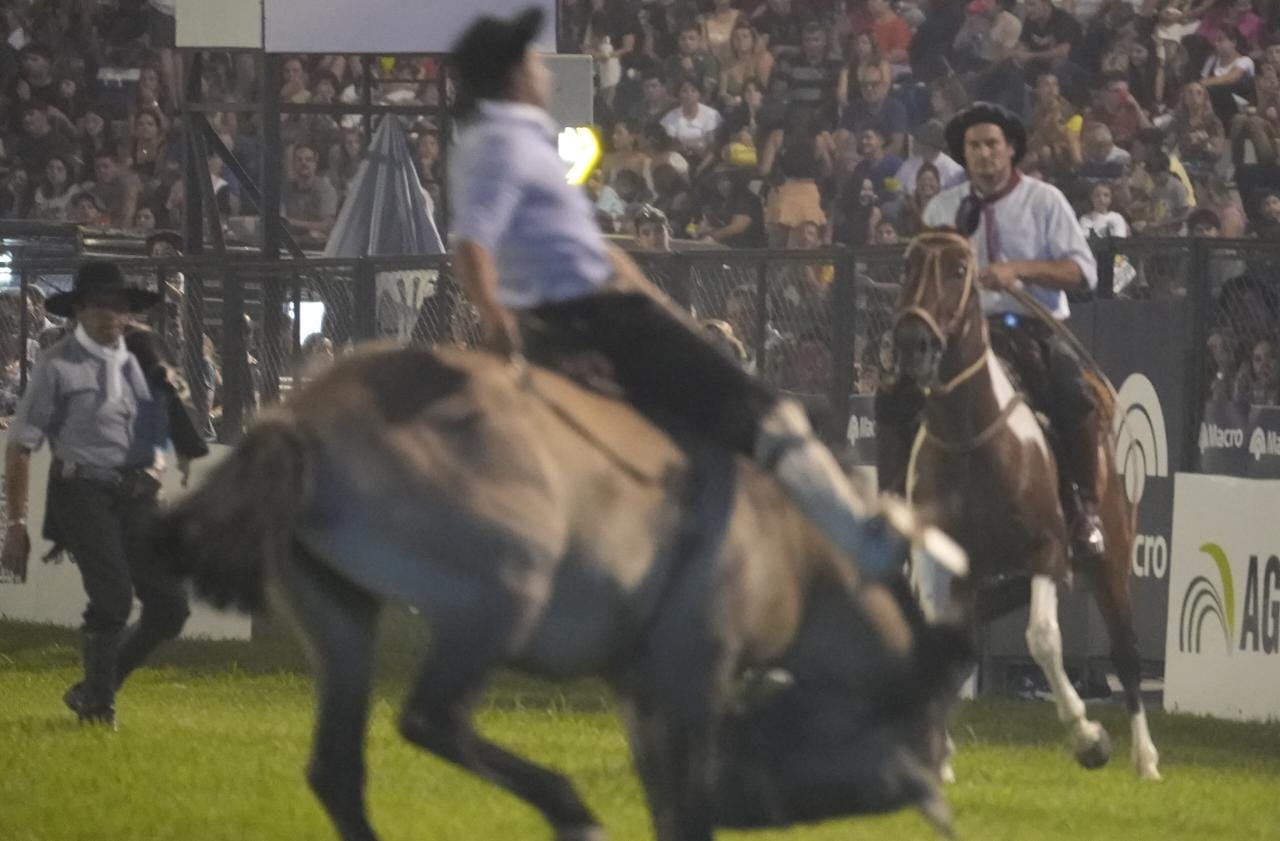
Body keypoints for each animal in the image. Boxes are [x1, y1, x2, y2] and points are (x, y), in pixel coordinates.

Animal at [880, 229, 1162, 778]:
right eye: (907, 265)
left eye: (960, 269)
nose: (912, 345)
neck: (972, 440)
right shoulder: (940, 561)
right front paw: (936, 755)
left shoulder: (1045, 550)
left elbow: (1043, 637)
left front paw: (1089, 738)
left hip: (1110, 559)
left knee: (1125, 652)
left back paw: (1146, 759)